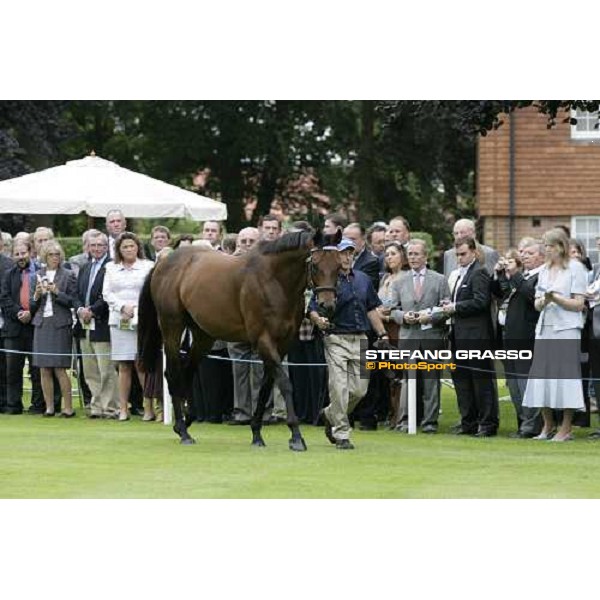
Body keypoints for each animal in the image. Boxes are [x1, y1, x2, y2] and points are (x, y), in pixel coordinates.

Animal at [137, 229, 342, 450]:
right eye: (315, 265)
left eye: (339, 266)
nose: (328, 306)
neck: (275, 280)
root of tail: (163, 262)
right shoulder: (263, 340)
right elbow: (285, 384)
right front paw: (296, 436)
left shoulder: (282, 345)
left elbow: (265, 388)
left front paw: (256, 433)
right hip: (172, 329)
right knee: (173, 373)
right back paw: (183, 431)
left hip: (203, 336)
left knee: (187, 371)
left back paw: (186, 420)